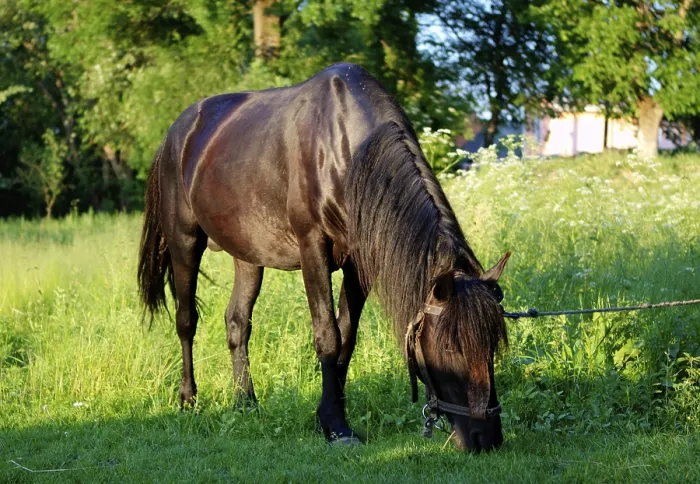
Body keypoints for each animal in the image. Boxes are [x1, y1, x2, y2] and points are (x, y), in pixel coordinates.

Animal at [137, 63, 511, 451]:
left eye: (494, 344)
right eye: (452, 347)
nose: (487, 438)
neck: (347, 153)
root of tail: (177, 132)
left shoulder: (359, 265)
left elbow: (346, 337)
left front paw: (330, 414)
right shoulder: (312, 248)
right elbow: (327, 335)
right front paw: (336, 426)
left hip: (248, 256)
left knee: (237, 323)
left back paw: (245, 402)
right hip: (184, 242)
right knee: (186, 321)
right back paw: (188, 399)